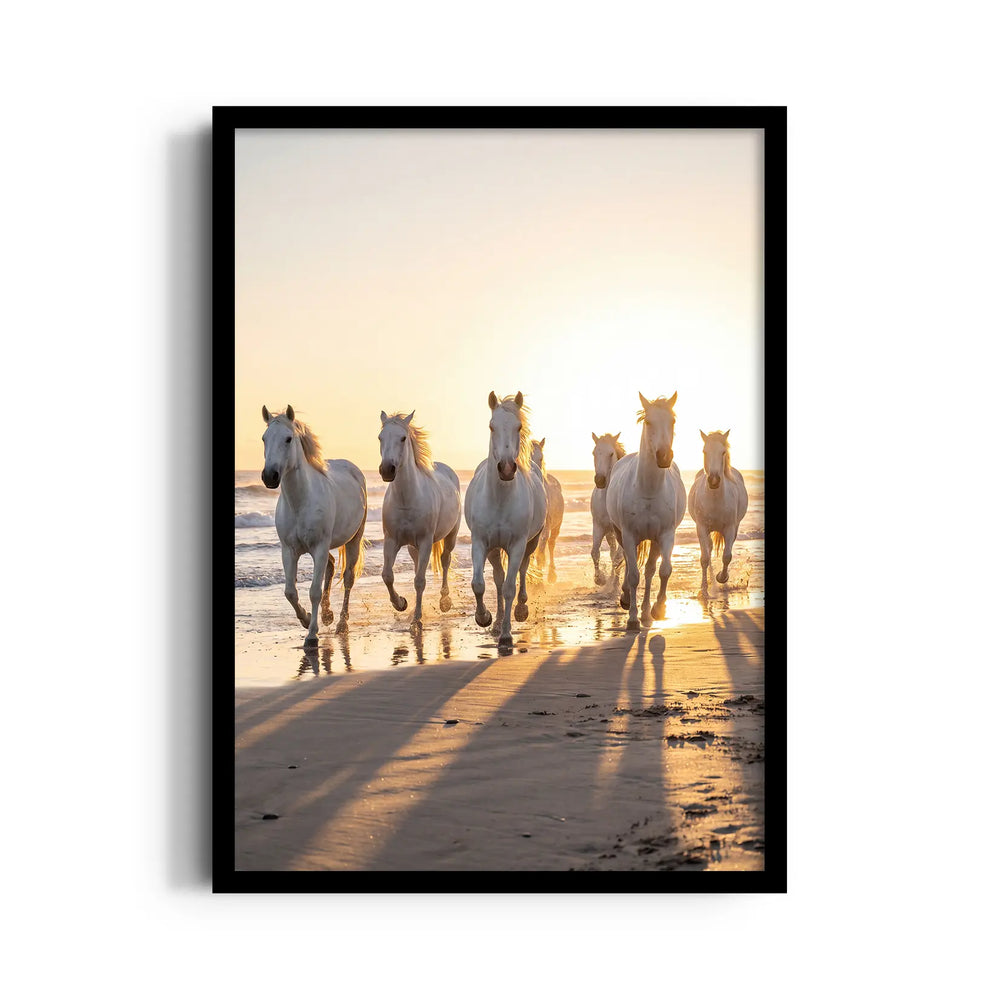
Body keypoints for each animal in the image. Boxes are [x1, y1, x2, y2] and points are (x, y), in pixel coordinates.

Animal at [260, 405, 367, 645]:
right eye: (264, 438)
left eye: (288, 438)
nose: (269, 476)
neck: (300, 502)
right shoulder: (289, 550)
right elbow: (290, 591)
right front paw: (307, 619)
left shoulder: (318, 548)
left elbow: (314, 591)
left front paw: (311, 634)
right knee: (331, 566)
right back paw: (328, 615)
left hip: (353, 539)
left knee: (348, 577)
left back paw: (341, 623)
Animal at [377, 409, 462, 630]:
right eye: (380, 437)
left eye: (402, 438)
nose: (387, 470)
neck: (407, 499)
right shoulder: (391, 540)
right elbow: (387, 575)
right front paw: (401, 604)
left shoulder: (425, 542)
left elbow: (420, 581)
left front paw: (416, 619)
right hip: (411, 546)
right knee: (417, 566)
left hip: (451, 535)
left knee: (445, 560)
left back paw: (444, 602)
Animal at [463, 391, 547, 649]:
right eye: (492, 426)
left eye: (518, 426)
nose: (507, 468)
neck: (500, 498)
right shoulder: (480, 542)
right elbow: (479, 584)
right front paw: (484, 618)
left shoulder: (518, 544)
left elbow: (511, 587)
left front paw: (507, 636)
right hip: (493, 549)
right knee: (498, 579)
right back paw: (498, 621)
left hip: (530, 543)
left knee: (522, 570)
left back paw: (520, 610)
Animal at [605, 392, 687, 630]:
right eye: (649, 422)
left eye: (672, 421)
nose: (664, 456)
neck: (649, 489)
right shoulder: (629, 535)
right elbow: (633, 575)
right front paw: (632, 619)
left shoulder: (666, 535)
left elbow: (664, 570)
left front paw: (657, 610)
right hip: (621, 534)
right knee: (627, 561)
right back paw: (627, 600)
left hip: (655, 540)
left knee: (650, 570)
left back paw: (647, 613)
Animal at [687, 429, 749, 589]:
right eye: (705, 451)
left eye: (723, 452)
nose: (714, 480)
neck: (715, 500)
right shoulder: (701, 528)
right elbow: (704, 557)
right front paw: (704, 586)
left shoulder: (730, 528)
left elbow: (727, 556)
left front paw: (722, 577)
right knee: (708, 547)